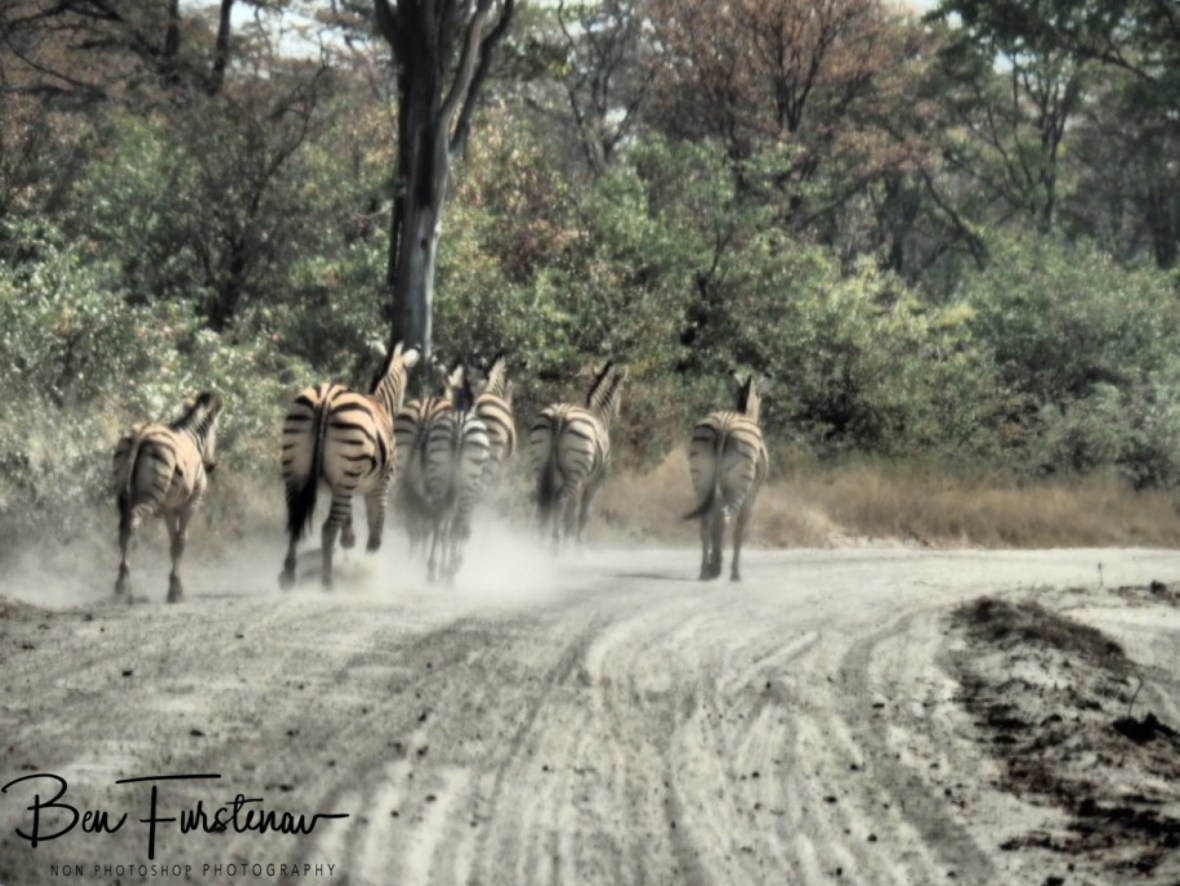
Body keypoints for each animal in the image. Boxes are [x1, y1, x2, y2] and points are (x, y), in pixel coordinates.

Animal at [113, 391, 224, 603]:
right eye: (217, 431)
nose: (211, 465)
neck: (192, 438)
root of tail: (142, 434)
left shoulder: (169, 508)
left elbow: (173, 543)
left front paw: (174, 585)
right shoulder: (190, 503)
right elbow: (181, 542)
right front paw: (175, 590)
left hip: (123, 492)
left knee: (122, 528)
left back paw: (120, 584)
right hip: (151, 493)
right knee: (132, 523)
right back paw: (124, 585)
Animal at [279, 340, 420, 590]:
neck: (380, 402)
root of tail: (325, 400)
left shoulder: (344, 484)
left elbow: (348, 517)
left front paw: (349, 541)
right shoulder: (380, 486)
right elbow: (376, 533)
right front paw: (367, 572)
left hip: (297, 471)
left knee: (295, 521)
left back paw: (288, 573)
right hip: (346, 472)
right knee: (327, 529)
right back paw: (327, 582)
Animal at [420, 366, 490, 584]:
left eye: (443, 390)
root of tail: (459, 422)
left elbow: (445, 526)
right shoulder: (472, 489)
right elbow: (463, 526)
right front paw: (454, 563)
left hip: (438, 475)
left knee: (438, 519)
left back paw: (432, 569)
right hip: (468, 482)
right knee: (458, 522)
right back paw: (451, 572)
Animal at [529, 361, 627, 549]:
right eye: (622, 390)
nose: (619, 416)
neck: (597, 413)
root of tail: (560, 414)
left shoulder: (578, 482)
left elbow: (570, 514)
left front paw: (569, 539)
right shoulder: (595, 482)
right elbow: (584, 513)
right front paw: (578, 546)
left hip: (542, 468)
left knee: (543, 501)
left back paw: (539, 541)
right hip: (576, 471)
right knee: (559, 500)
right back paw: (555, 543)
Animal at [684, 374, 769, 582]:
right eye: (761, 396)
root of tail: (725, 424)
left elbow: (715, 525)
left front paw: (715, 559)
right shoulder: (753, 493)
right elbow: (740, 530)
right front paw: (733, 571)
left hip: (701, 477)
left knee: (706, 519)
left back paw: (705, 570)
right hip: (740, 482)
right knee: (725, 516)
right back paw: (722, 569)